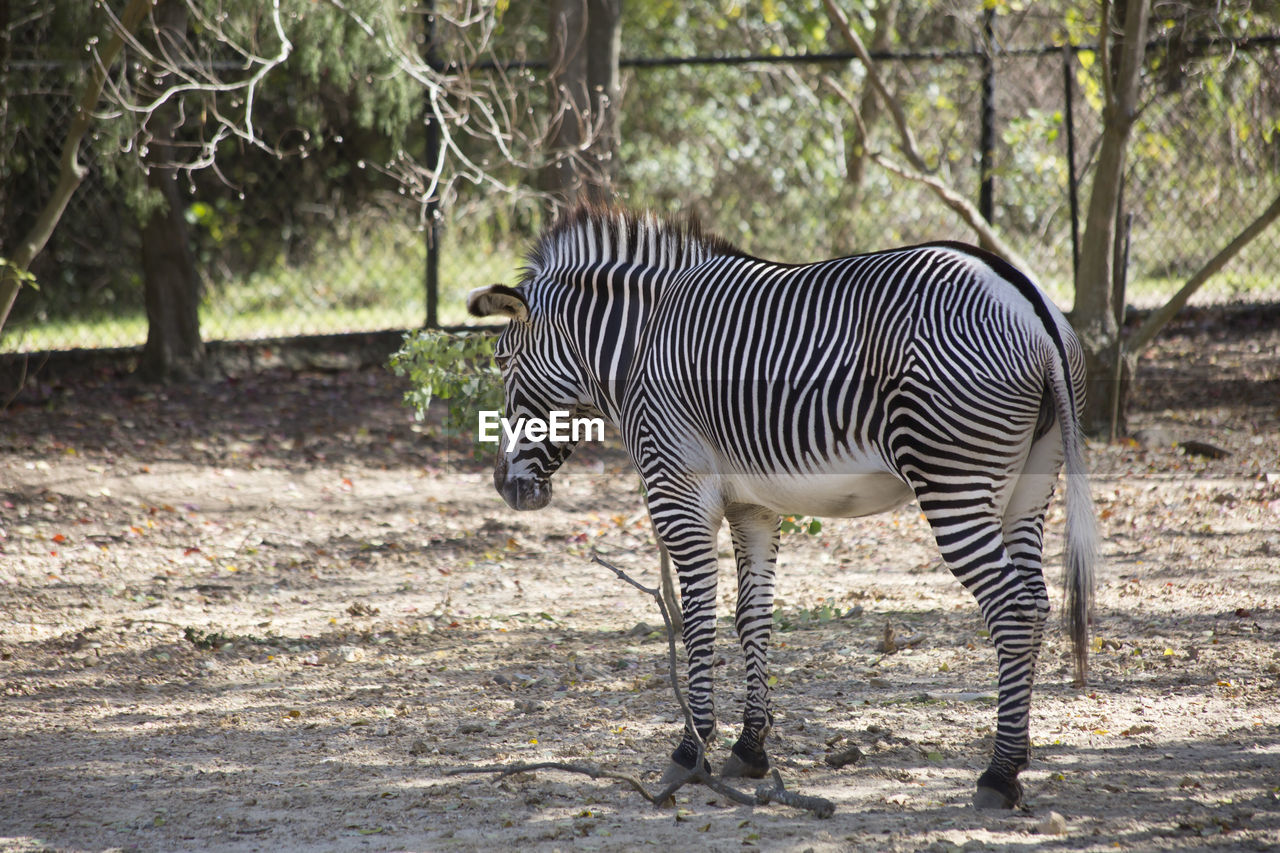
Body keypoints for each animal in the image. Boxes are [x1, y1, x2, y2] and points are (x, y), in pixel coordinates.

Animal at [471, 204, 1100, 804]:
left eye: (502, 361)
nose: (505, 485)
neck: (641, 341)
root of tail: (1031, 305)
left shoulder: (678, 490)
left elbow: (698, 617)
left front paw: (691, 750)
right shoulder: (752, 506)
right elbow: (753, 616)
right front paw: (750, 749)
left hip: (954, 480)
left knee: (1012, 608)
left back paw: (998, 775)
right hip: (1028, 489)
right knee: (1037, 602)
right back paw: (1016, 759)